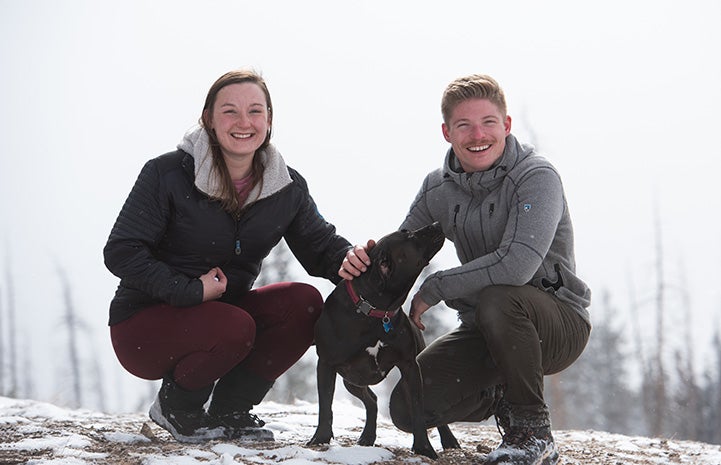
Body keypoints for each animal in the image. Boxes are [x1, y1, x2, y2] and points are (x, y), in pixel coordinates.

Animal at [306, 223, 458, 458]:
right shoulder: (326, 365)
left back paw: (448, 439)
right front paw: (320, 438)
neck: (376, 310)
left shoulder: (410, 366)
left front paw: (424, 448)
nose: (436, 225)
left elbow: (418, 408)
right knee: (372, 401)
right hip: (352, 380)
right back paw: (367, 436)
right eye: (409, 235)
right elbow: (325, 404)